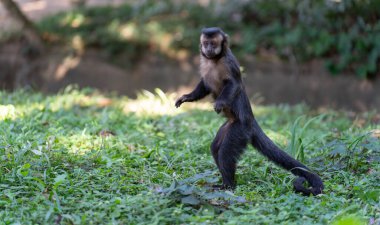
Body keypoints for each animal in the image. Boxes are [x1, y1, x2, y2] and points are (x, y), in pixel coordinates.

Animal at [175, 26, 324, 195]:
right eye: (206, 43)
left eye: (213, 44)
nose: (208, 49)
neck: (214, 60)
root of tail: (251, 120)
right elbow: (205, 85)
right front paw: (186, 97)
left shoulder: (229, 62)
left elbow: (234, 84)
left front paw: (219, 103)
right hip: (229, 126)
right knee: (215, 148)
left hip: (240, 129)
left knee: (225, 153)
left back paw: (228, 186)